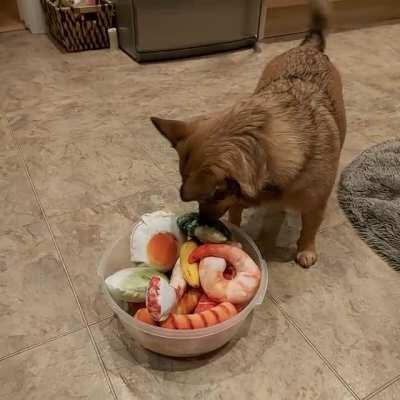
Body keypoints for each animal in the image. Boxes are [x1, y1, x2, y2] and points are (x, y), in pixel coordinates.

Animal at [152, 1, 346, 268]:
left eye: (212, 196)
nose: (202, 220)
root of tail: (309, 46)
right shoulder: (238, 199)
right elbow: (236, 212)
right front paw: (235, 230)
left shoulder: (315, 205)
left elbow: (309, 229)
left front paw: (306, 250)